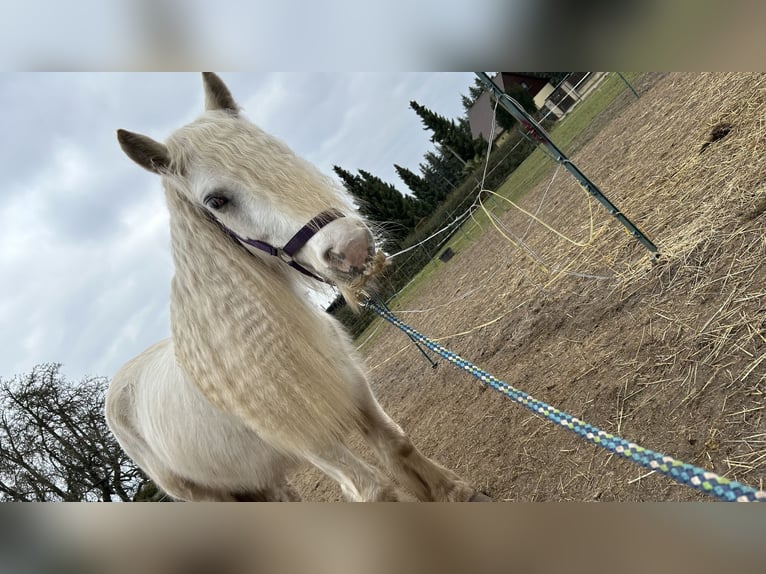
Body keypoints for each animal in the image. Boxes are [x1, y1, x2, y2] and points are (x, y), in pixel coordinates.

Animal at [106, 73, 492, 504]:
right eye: (216, 201)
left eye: (273, 151)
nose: (352, 248)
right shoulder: (312, 441)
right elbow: (372, 489)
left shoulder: (355, 390)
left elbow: (398, 445)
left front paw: (455, 493)